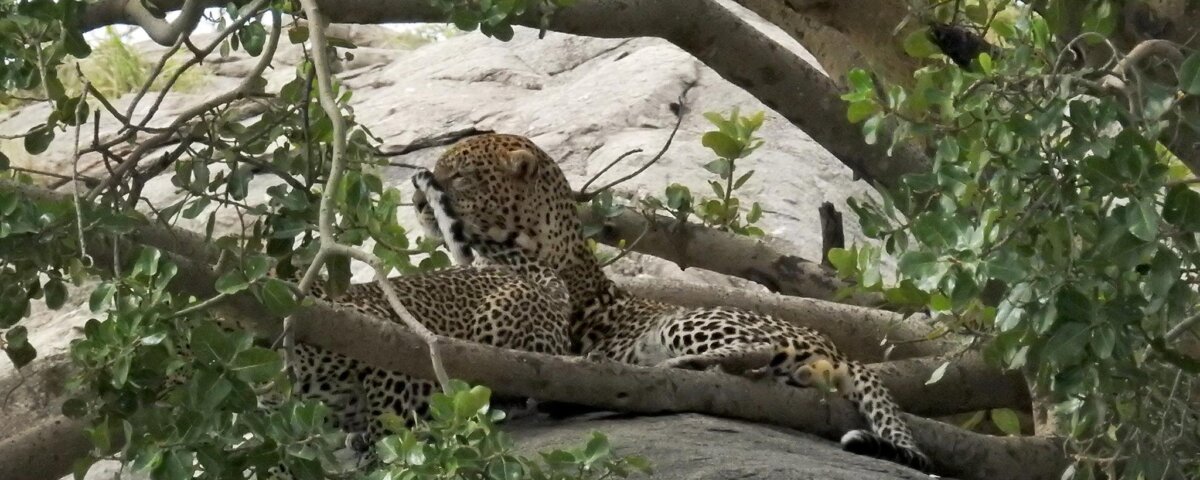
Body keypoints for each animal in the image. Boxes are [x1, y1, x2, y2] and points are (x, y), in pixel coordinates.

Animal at [411, 133, 935, 474]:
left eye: (461, 176)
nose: (417, 203)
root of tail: (835, 346)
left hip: (691, 319)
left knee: (755, 351)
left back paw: (680, 365)